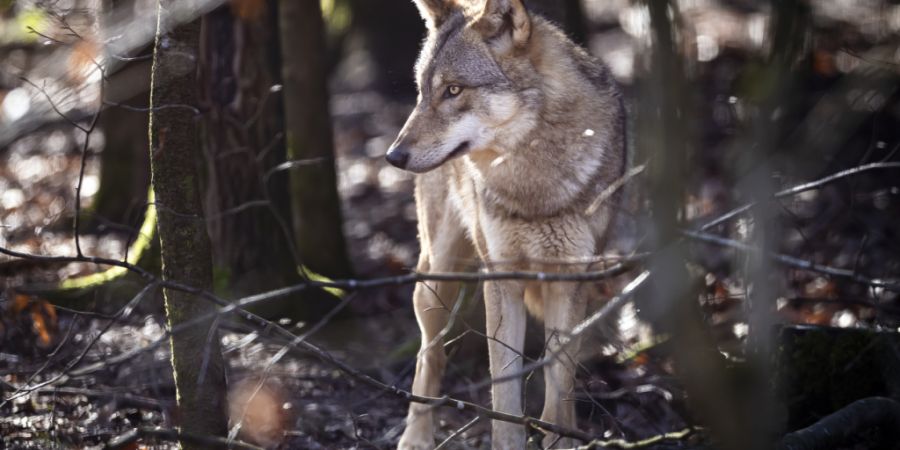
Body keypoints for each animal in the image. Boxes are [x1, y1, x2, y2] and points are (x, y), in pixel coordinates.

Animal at [385, 0, 626, 448]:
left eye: (454, 90)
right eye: (422, 91)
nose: (393, 156)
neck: (533, 185)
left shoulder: (569, 280)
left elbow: (559, 386)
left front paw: (559, 436)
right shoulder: (501, 279)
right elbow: (504, 394)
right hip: (435, 278)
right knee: (430, 353)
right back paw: (416, 437)